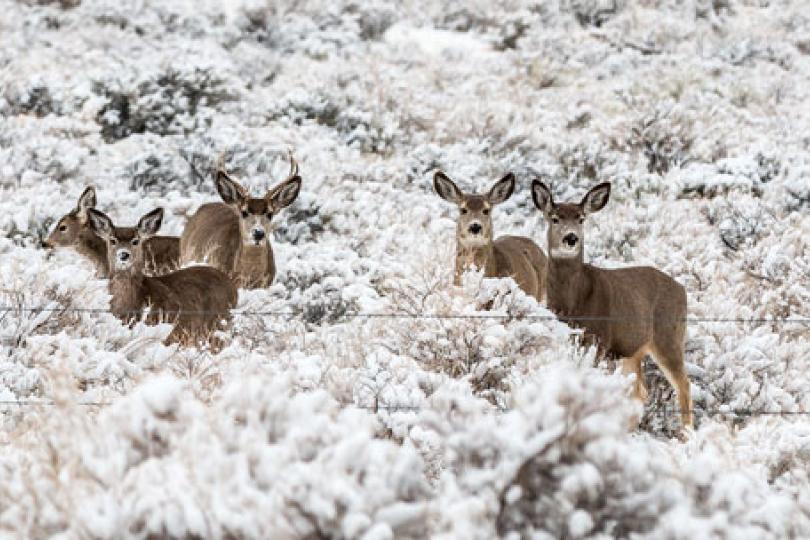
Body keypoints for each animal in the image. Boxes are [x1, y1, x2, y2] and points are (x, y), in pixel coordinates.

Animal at [528, 181, 692, 430]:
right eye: (554, 218)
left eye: (581, 218)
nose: (571, 238)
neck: (573, 303)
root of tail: (682, 289)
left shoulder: (600, 339)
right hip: (633, 350)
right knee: (641, 391)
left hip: (668, 336)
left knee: (683, 384)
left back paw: (687, 434)